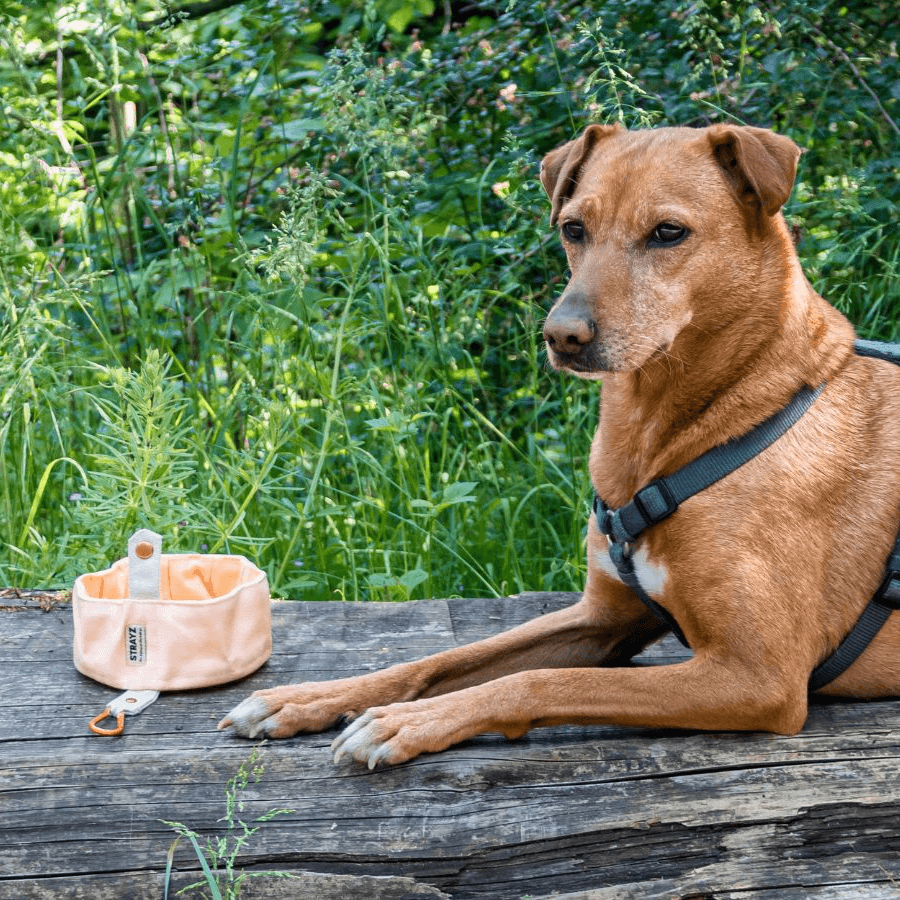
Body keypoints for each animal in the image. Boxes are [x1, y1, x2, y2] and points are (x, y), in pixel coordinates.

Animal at [218, 121, 900, 768]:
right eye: (574, 228)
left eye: (668, 233)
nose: (561, 335)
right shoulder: (604, 618)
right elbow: (440, 660)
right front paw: (309, 697)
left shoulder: (757, 676)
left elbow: (539, 680)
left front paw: (406, 721)